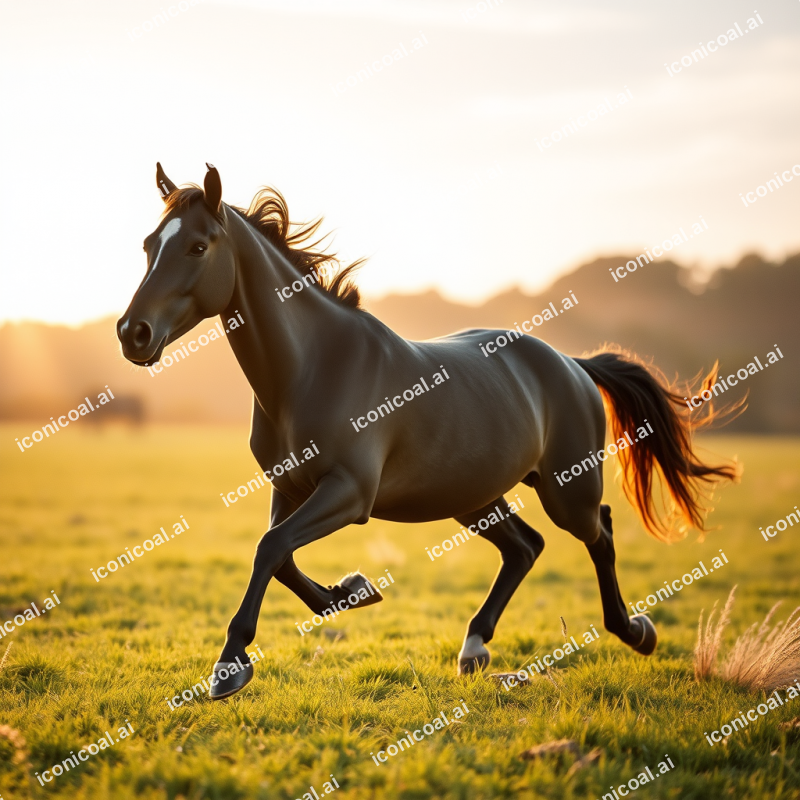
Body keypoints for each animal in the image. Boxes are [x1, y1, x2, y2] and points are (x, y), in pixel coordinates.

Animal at [117, 163, 739, 700]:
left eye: (198, 246)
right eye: (149, 244)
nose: (132, 333)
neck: (315, 368)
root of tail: (573, 364)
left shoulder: (349, 493)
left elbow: (271, 549)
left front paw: (228, 668)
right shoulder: (288, 488)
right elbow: (281, 556)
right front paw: (352, 590)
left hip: (567, 488)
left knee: (599, 533)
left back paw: (636, 631)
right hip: (472, 495)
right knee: (525, 547)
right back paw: (474, 649)